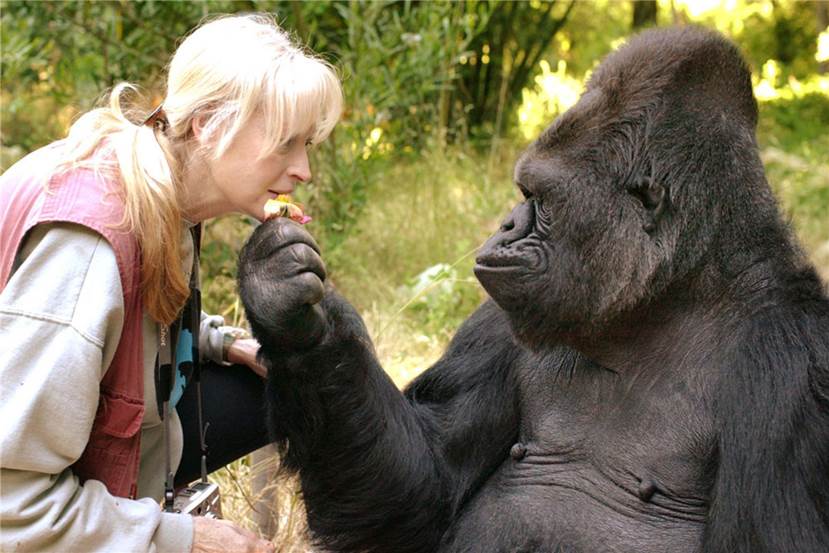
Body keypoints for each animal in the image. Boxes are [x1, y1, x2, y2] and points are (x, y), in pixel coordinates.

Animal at [236, 25, 824, 552]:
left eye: (538, 198)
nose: (506, 225)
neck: (668, 299)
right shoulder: (500, 319)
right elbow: (421, 488)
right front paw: (290, 313)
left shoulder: (795, 369)